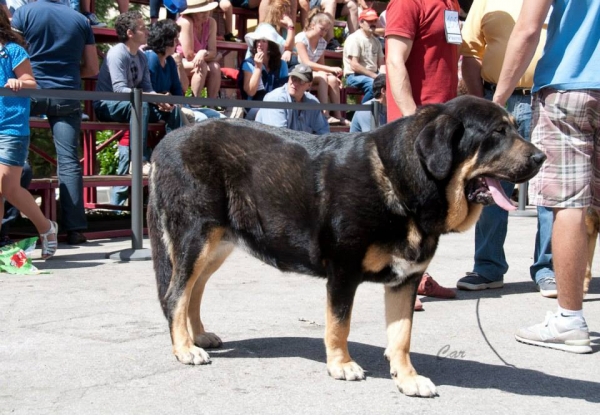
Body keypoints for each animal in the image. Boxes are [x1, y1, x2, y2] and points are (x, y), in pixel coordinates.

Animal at [148, 96, 548, 398]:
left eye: (514, 128)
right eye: (497, 133)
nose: (541, 157)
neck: (403, 183)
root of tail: (163, 144)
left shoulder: (405, 280)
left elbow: (401, 336)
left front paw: (406, 378)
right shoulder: (343, 272)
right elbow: (340, 325)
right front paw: (341, 365)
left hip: (217, 245)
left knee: (193, 290)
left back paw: (198, 335)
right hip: (196, 238)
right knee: (175, 294)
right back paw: (185, 348)